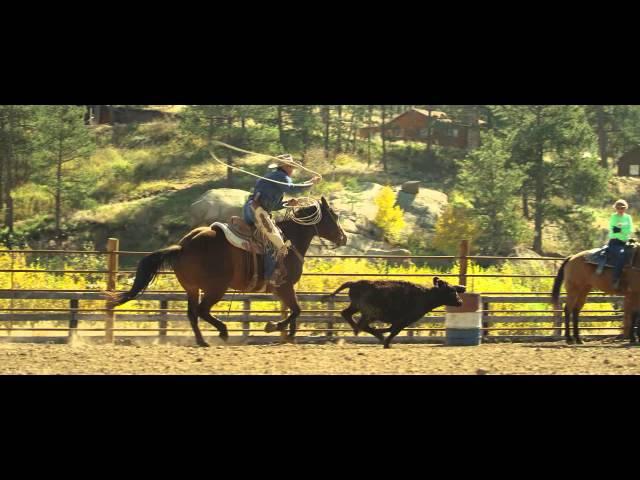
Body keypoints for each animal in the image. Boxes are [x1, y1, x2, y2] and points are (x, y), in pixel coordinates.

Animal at [112, 197, 348, 346]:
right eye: (333, 217)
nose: (343, 237)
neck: (289, 242)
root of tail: (183, 246)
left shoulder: (282, 289)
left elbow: (295, 311)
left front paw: (288, 334)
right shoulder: (284, 286)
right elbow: (296, 310)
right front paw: (273, 327)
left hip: (192, 288)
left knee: (192, 313)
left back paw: (202, 341)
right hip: (216, 288)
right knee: (202, 311)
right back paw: (223, 331)